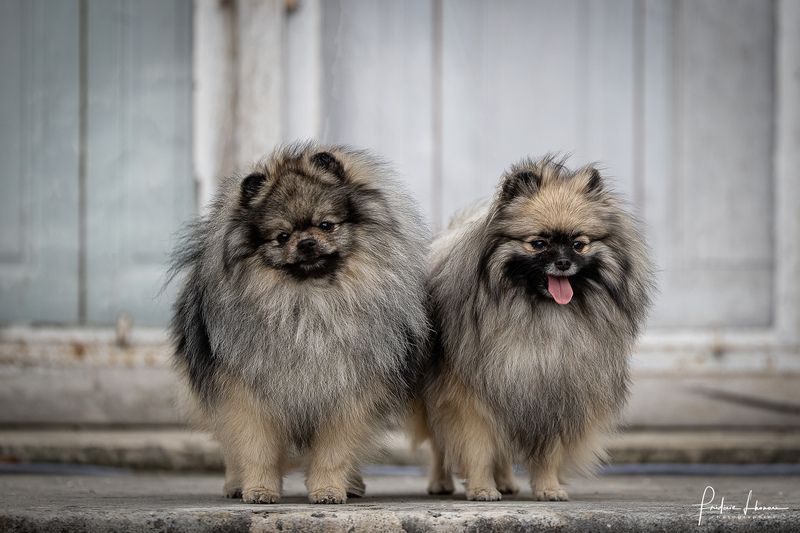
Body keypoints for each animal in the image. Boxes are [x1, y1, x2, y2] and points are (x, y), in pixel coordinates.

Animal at [170, 141, 432, 502]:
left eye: (326, 225)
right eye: (282, 236)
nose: (306, 243)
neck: (309, 303)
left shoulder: (349, 395)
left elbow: (335, 451)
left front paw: (328, 489)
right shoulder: (246, 394)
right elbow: (256, 449)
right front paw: (260, 489)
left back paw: (352, 484)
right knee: (230, 447)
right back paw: (235, 484)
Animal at [416, 155, 652, 502]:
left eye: (578, 244)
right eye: (538, 244)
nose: (563, 262)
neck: (539, 315)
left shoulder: (550, 392)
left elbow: (547, 453)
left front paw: (548, 488)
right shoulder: (469, 398)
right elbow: (477, 448)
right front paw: (482, 489)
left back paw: (505, 481)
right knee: (439, 446)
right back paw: (440, 483)